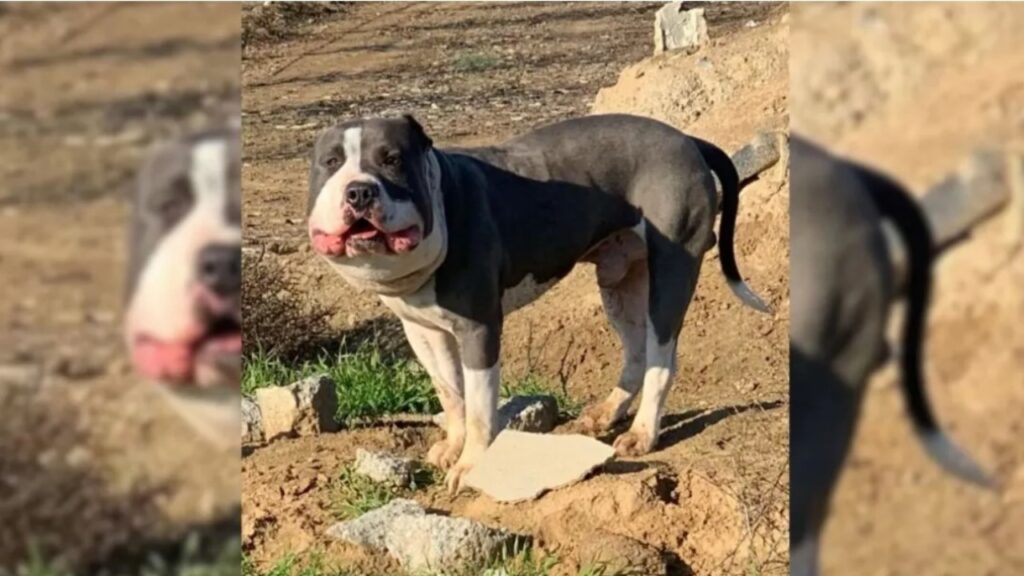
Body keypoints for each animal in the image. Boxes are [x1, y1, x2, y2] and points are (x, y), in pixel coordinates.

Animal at [303, 114, 770, 491]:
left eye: (392, 160)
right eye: (331, 162)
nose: (359, 192)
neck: (441, 200)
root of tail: (686, 138)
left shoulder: (479, 329)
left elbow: (479, 406)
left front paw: (471, 465)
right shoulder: (423, 331)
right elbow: (451, 394)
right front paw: (452, 447)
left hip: (672, 268)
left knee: (661, 359)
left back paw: (642, 433)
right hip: (620, 281)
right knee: (636, 352)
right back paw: (606, 413)